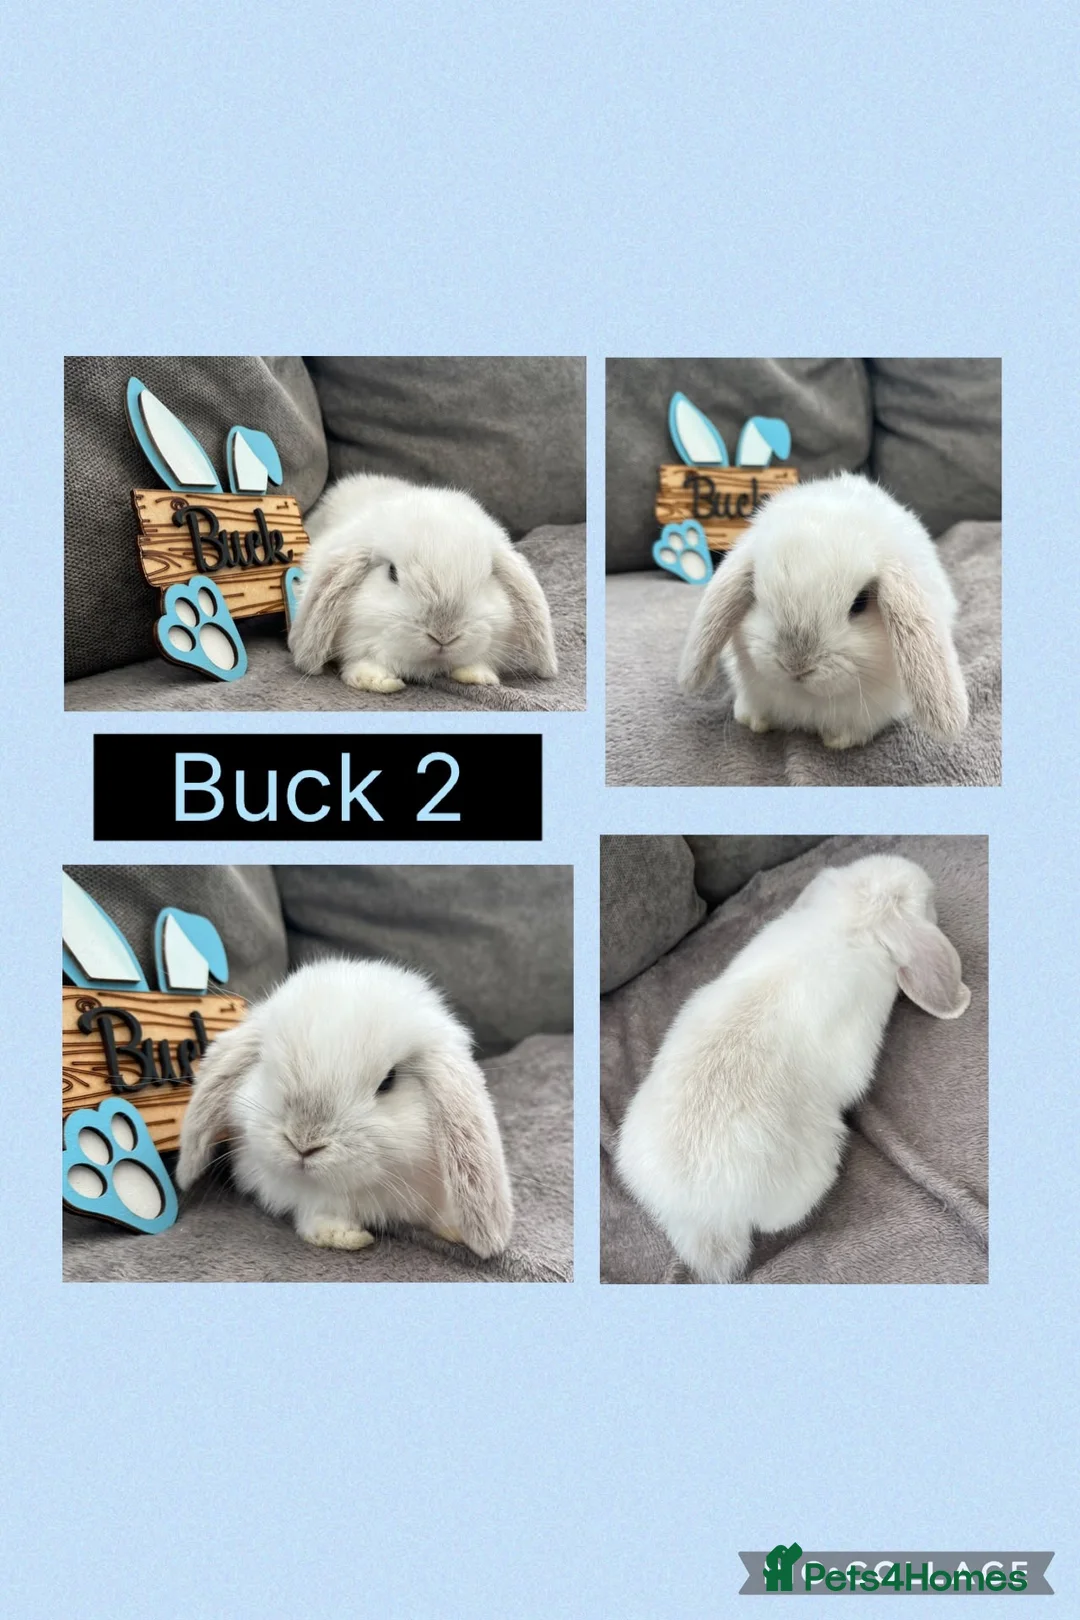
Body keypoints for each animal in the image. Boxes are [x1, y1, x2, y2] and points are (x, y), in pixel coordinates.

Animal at [176, 958, 514, 1258]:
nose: (303, 1144)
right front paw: (346, 1237)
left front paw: (456, 1231)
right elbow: (316, 1215)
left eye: (388, 1081)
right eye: (266, 1066)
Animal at [289, 472, 558, 693]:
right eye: (392, 573)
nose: (443, 635)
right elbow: (362, 662)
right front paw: (378, 681)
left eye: (487, 576)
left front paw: (479, 676)